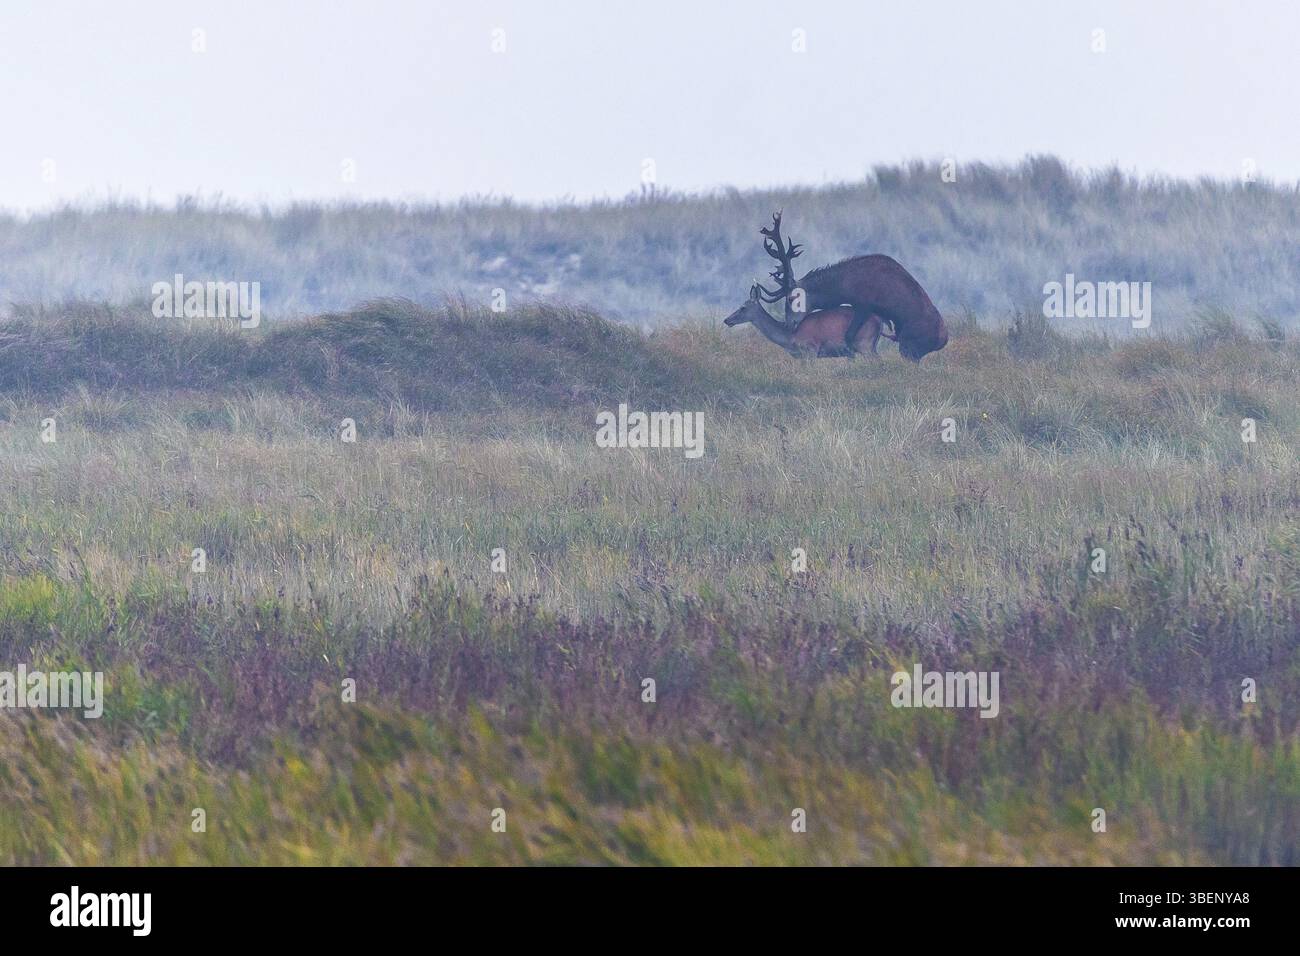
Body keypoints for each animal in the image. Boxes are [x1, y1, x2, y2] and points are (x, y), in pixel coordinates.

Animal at [727, 212, 949, 362]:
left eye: (791, 298)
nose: (790, 325)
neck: (842, 287)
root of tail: (944, 340)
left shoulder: (864, 303)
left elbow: (849, 338)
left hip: (910, 346)